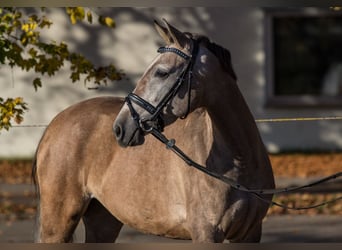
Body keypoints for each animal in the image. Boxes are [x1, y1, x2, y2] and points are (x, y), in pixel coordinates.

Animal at [32, 19, 276, 242]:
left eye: (161, 72)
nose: (120, 128)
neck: (238, 161)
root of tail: (54, 124)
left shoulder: (250, 234)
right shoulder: (206, 233)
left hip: (103, 221)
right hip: (58, 223)